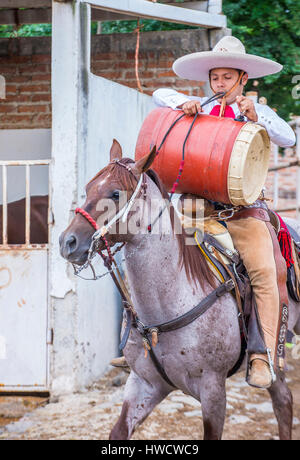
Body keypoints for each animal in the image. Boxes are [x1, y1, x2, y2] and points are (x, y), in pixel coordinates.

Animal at [58, 141, 300, 442]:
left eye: (115, 193)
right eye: (88, 187)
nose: (67, 242)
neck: (164, 310)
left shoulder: (213, 391)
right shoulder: (144, 384)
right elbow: (119, 431)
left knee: (283, 400)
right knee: (283, 399)